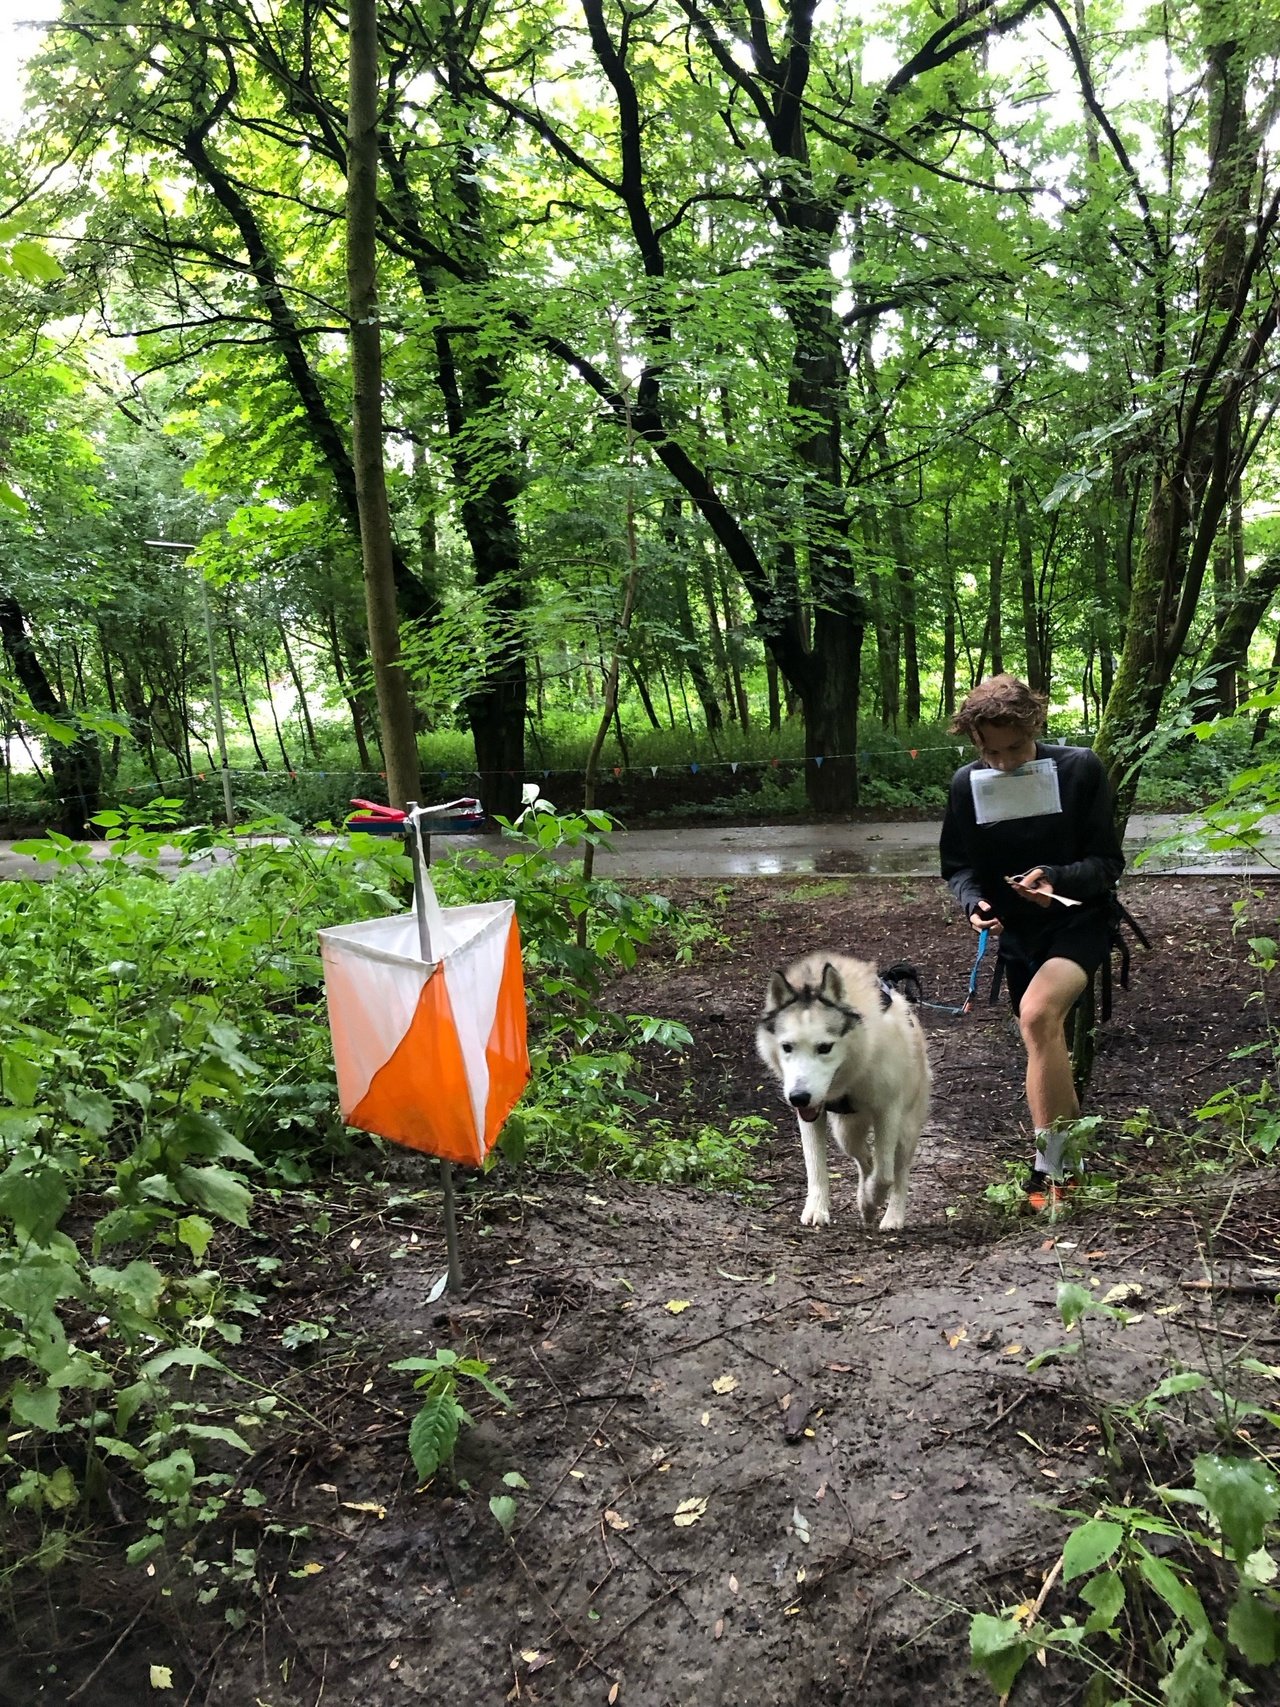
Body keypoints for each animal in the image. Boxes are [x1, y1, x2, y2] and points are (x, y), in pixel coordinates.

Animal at [756, 954, 931, 1230]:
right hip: (846, 1132)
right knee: (865, 1159)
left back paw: (892, 1215)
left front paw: (873, 1200)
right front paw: (817, 1209)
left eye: (824, 1047)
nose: (798, 1097)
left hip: (905, 1128)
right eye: (787, 1047)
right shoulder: (811, 1115)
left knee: (898, 1171)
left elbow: (885, 1176)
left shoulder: (888, 1111)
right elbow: (815, 1166)